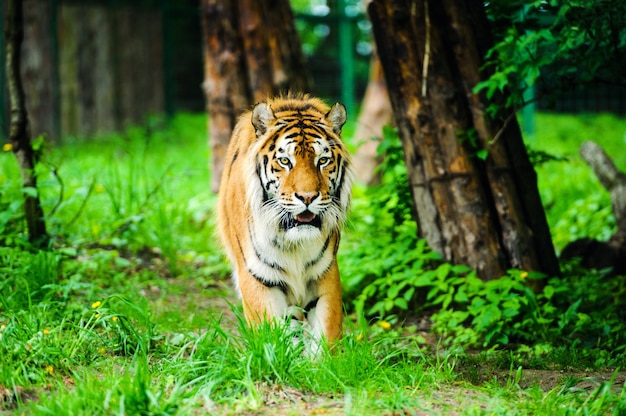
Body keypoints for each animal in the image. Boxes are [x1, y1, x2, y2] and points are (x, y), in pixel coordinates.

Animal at [216, 94, 352, 352]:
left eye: (323, 160)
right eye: (285, 161)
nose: (307, 197)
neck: (294, 244)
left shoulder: (325, 274)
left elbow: (327, 335)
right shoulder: (257, 277)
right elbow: (271, 335)